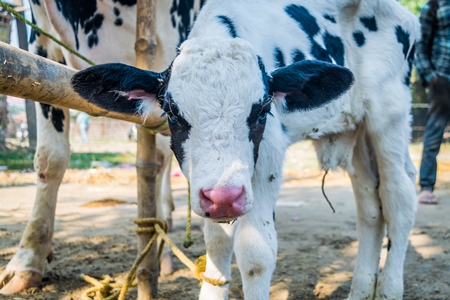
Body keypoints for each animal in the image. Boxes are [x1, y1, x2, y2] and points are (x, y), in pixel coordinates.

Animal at [71, 0, 422, 300]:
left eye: (263, 110)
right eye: (171, 111)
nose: (225, 198)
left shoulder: (268, 158)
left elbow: (256, 254)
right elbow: (216, 244)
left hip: (388, 115)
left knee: (398, 198)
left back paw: (389, 289)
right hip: (356, 132)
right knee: (370, 205)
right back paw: (361, 289)